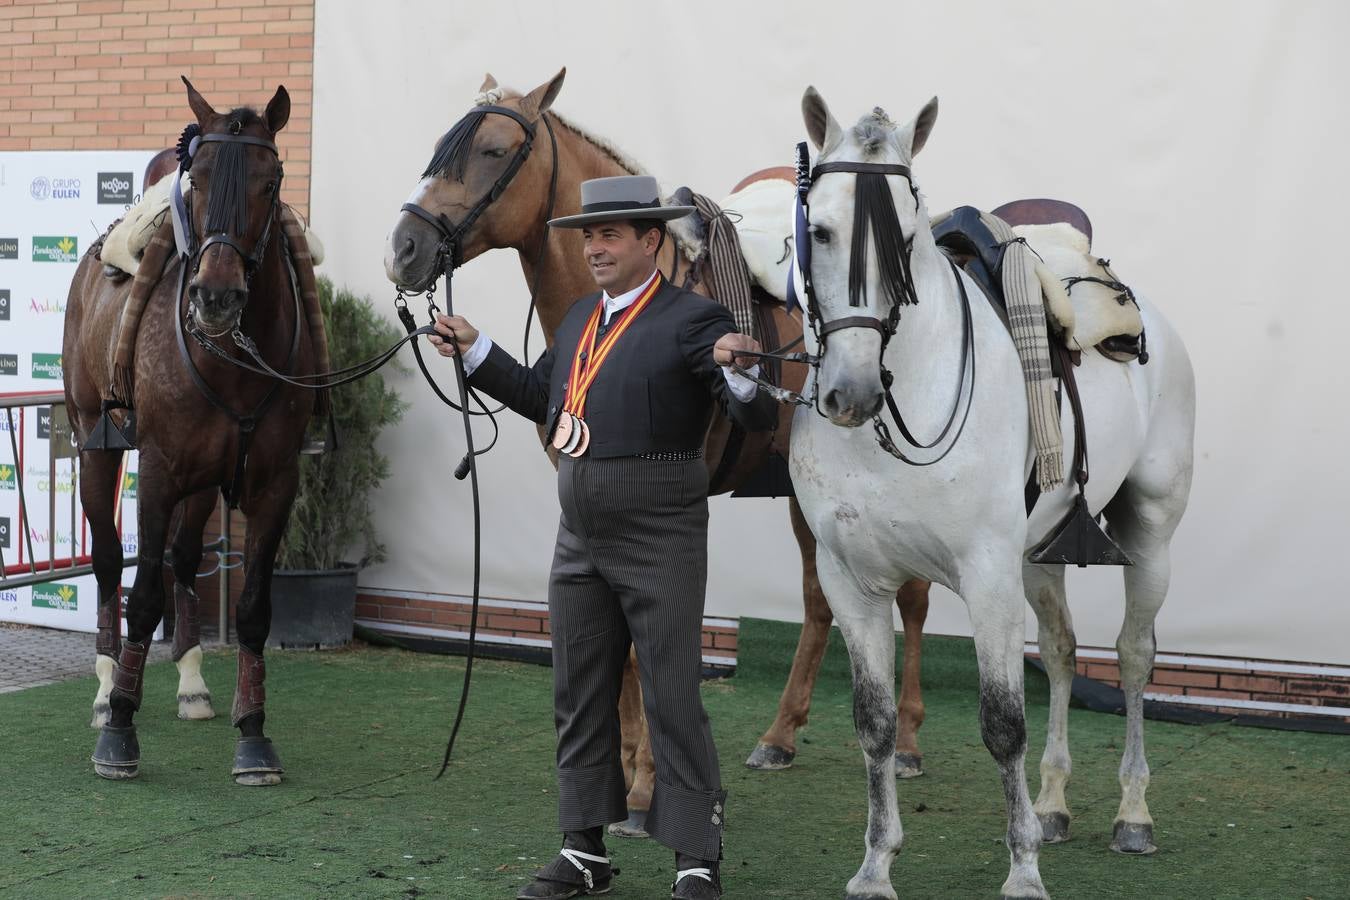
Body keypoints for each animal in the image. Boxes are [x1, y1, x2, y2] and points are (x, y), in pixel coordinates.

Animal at [65, 80, 318, 782]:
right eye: (197, 179)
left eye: (271, 180)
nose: (216, 296)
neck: (229, 357)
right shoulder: (156, 471)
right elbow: (143, 593)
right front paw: (119, 732)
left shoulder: (272, 481)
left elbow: (254, 608)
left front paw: (253, 734)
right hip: (93, 442)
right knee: (106, 558)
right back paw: (105, 690)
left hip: (206, 481)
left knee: (183, 558)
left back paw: (191, 684)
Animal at [788, 86, 1198, 900]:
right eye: (819, 229)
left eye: (907, 238)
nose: (850, 393)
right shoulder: (852, 581)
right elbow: (874, 725)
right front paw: (876, 866)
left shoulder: (983, 577)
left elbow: (1003, 724)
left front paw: (1023, 874)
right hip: (1034, 558)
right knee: (1064, 653)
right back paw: (1053, 807)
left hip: (1150, 532)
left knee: (1134, 655)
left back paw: (1132, 815)